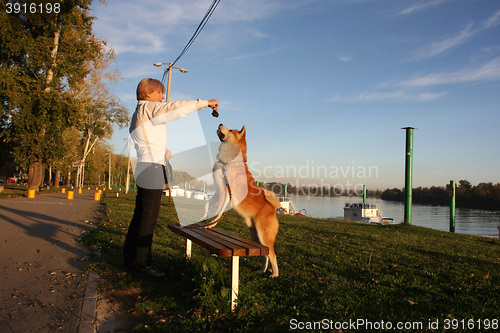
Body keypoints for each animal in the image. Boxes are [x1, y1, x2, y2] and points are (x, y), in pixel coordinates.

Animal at [203, 123, 282, 276]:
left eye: (230, 130)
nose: (220, 123)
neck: (228, 162)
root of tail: (273, 208)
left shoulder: (224, 193)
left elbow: (217, 211)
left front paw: (210, 225)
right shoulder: (219, 191)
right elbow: (208, 203)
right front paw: (205, 216)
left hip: (263, 235)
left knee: (272, 254)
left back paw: (275, 273)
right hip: (255, 235)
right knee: (265, 255)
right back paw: (262, 270)